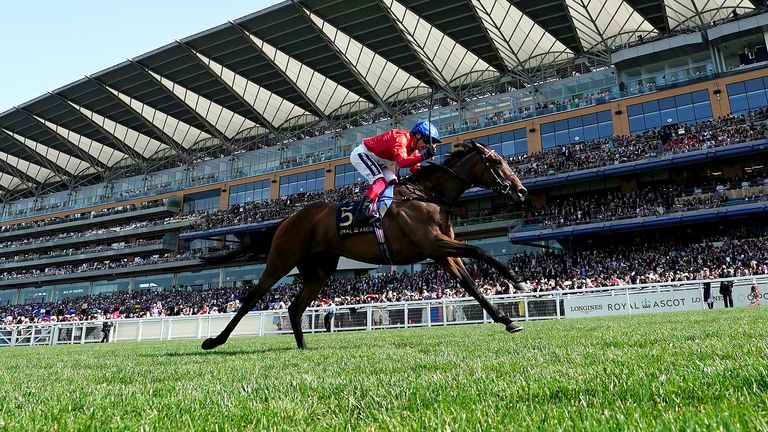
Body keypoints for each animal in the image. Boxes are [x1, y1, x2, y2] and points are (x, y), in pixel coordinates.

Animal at [201, 140, 528, 350]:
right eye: (496, 162)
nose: (522, 191)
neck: (427, 195)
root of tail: (287, 219)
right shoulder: (435, 244)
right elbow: (480, 250)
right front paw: (517, 281)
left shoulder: (441, 252)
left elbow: (471, 284)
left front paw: (507, 320)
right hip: (281, 260)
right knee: (251, 299)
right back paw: (214, 341)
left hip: (319, 271)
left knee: (294, 307)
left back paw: (303, 345)